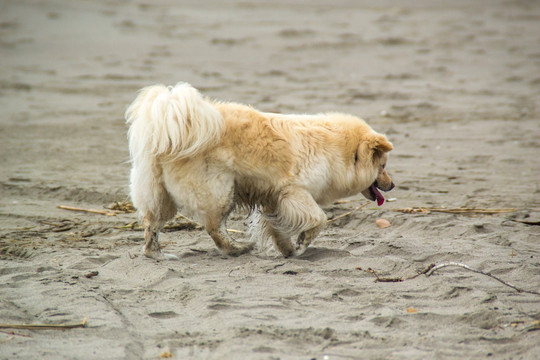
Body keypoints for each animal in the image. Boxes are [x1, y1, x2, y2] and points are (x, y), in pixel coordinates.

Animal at [127, 83, 396, 260]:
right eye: (383, 167)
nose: (392, 185)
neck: (340, 151)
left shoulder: (273, 199)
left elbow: (278, 230)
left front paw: (289, 250)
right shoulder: (294, 192)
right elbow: (319, 219)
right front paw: (302, 243)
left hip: (161, 196)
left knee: (151, 225)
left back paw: (156, 254)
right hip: (220, 192)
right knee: (214, 228)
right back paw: (237, 248)